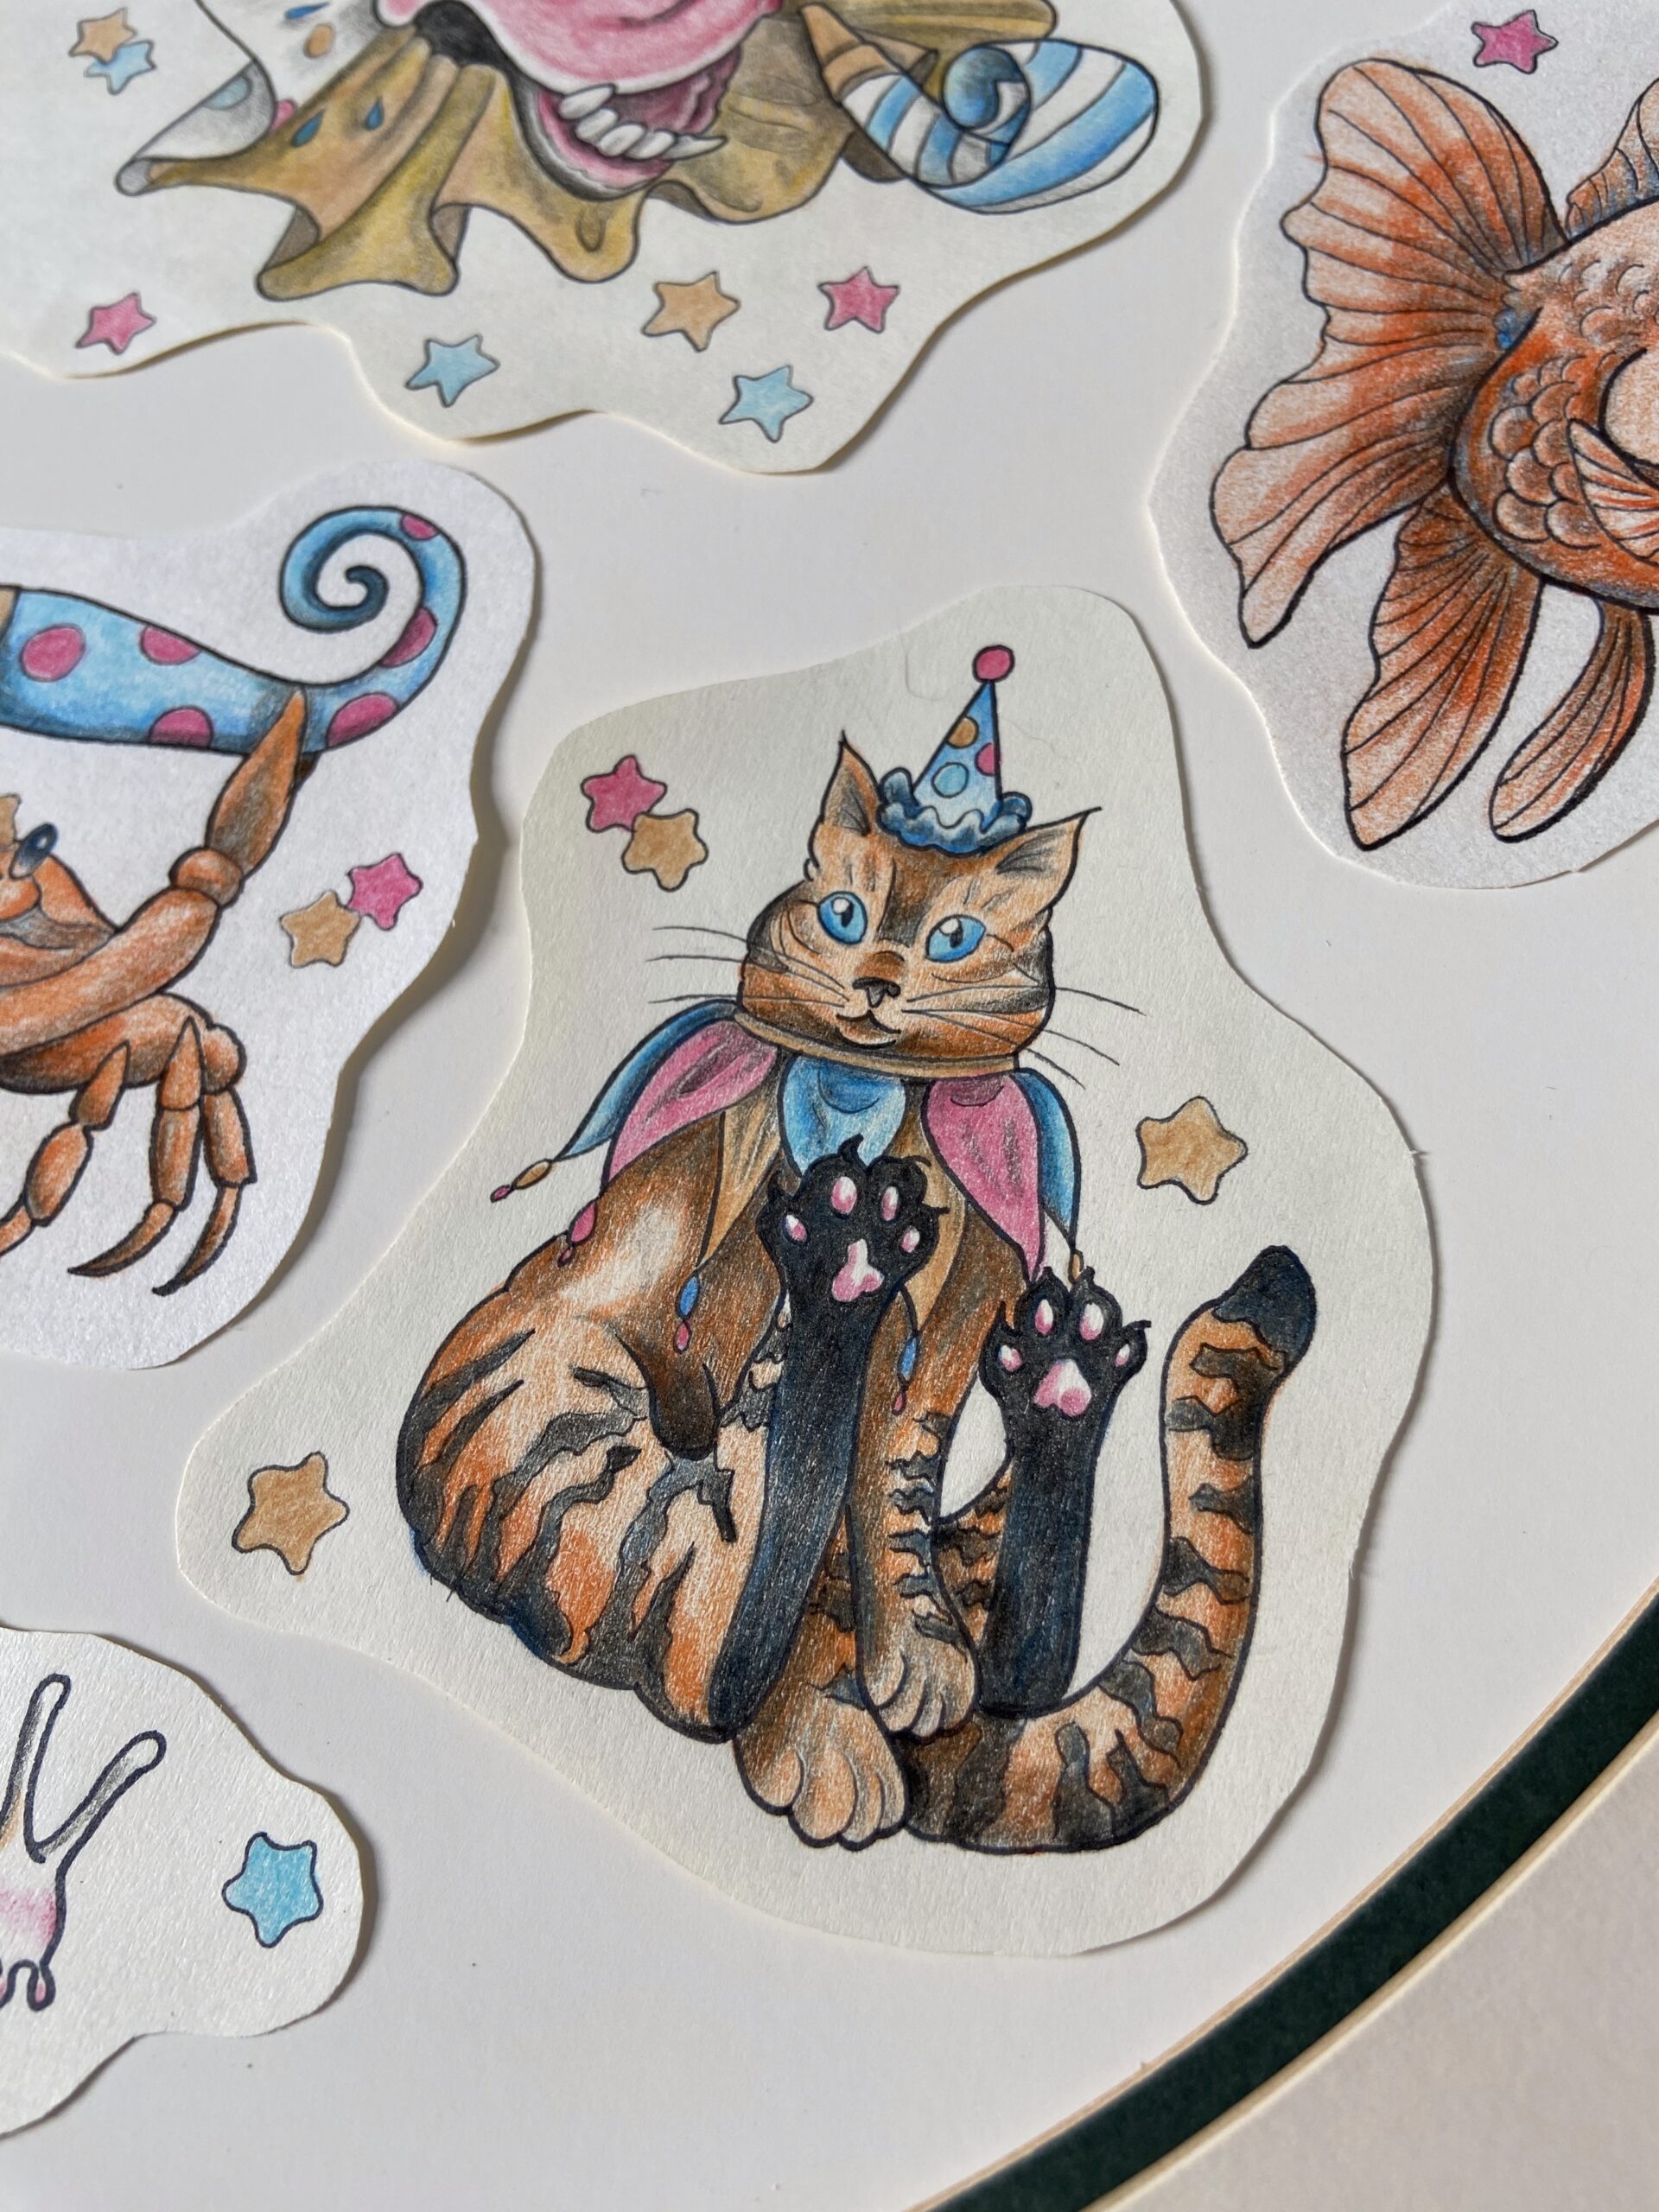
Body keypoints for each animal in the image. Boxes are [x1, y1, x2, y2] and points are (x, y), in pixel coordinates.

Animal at [398, 662, 1317, 1851]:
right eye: (845, 915)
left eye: (954, 939)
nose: (878, 980)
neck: (900, 1105)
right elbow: (829, 1446)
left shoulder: (974, 1300)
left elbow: (897, 1479)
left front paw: (914, 1629)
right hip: (612, 1484)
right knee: (727, 1658)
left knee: (989, 1655)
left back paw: (1053, 1386)